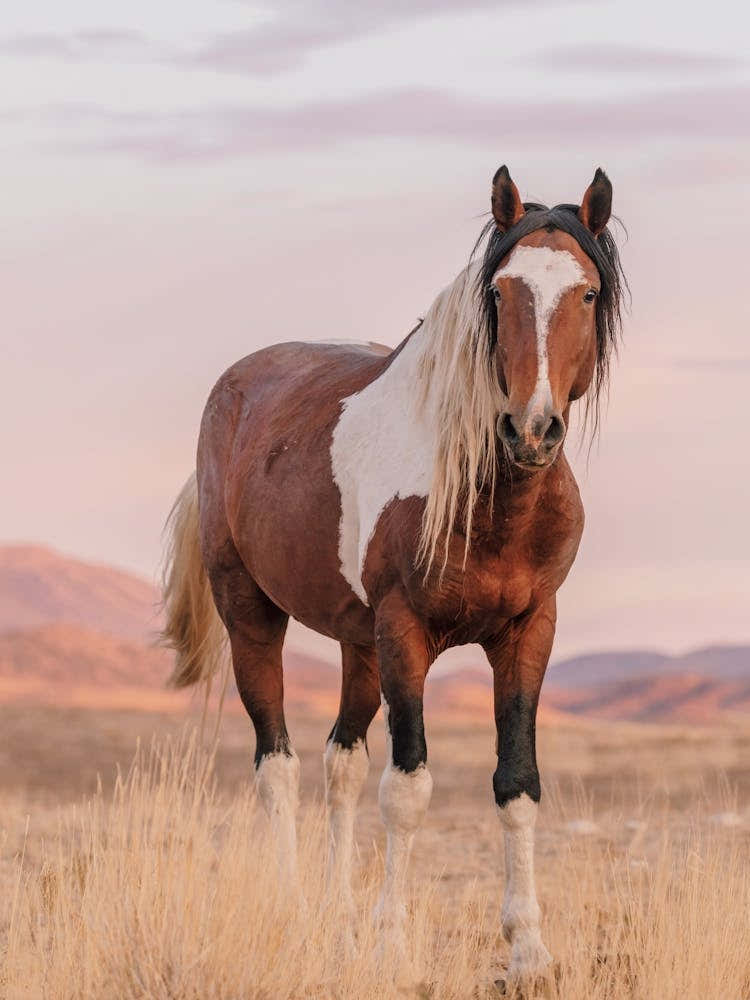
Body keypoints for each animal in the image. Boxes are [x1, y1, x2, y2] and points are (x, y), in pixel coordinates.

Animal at [161, 165, 625, 984]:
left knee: (339, 763)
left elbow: (517, 783)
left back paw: (337, 920)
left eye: (588, 294)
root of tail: (235, 387)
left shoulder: (529, 630)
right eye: (499, 291)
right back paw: (294, 912)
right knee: (277, 763)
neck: (483, 497)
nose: (531, 430)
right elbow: (407, 790)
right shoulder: (405, 632)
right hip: (253, 613)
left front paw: (529, 952)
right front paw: (394, 949)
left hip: (359, 645)